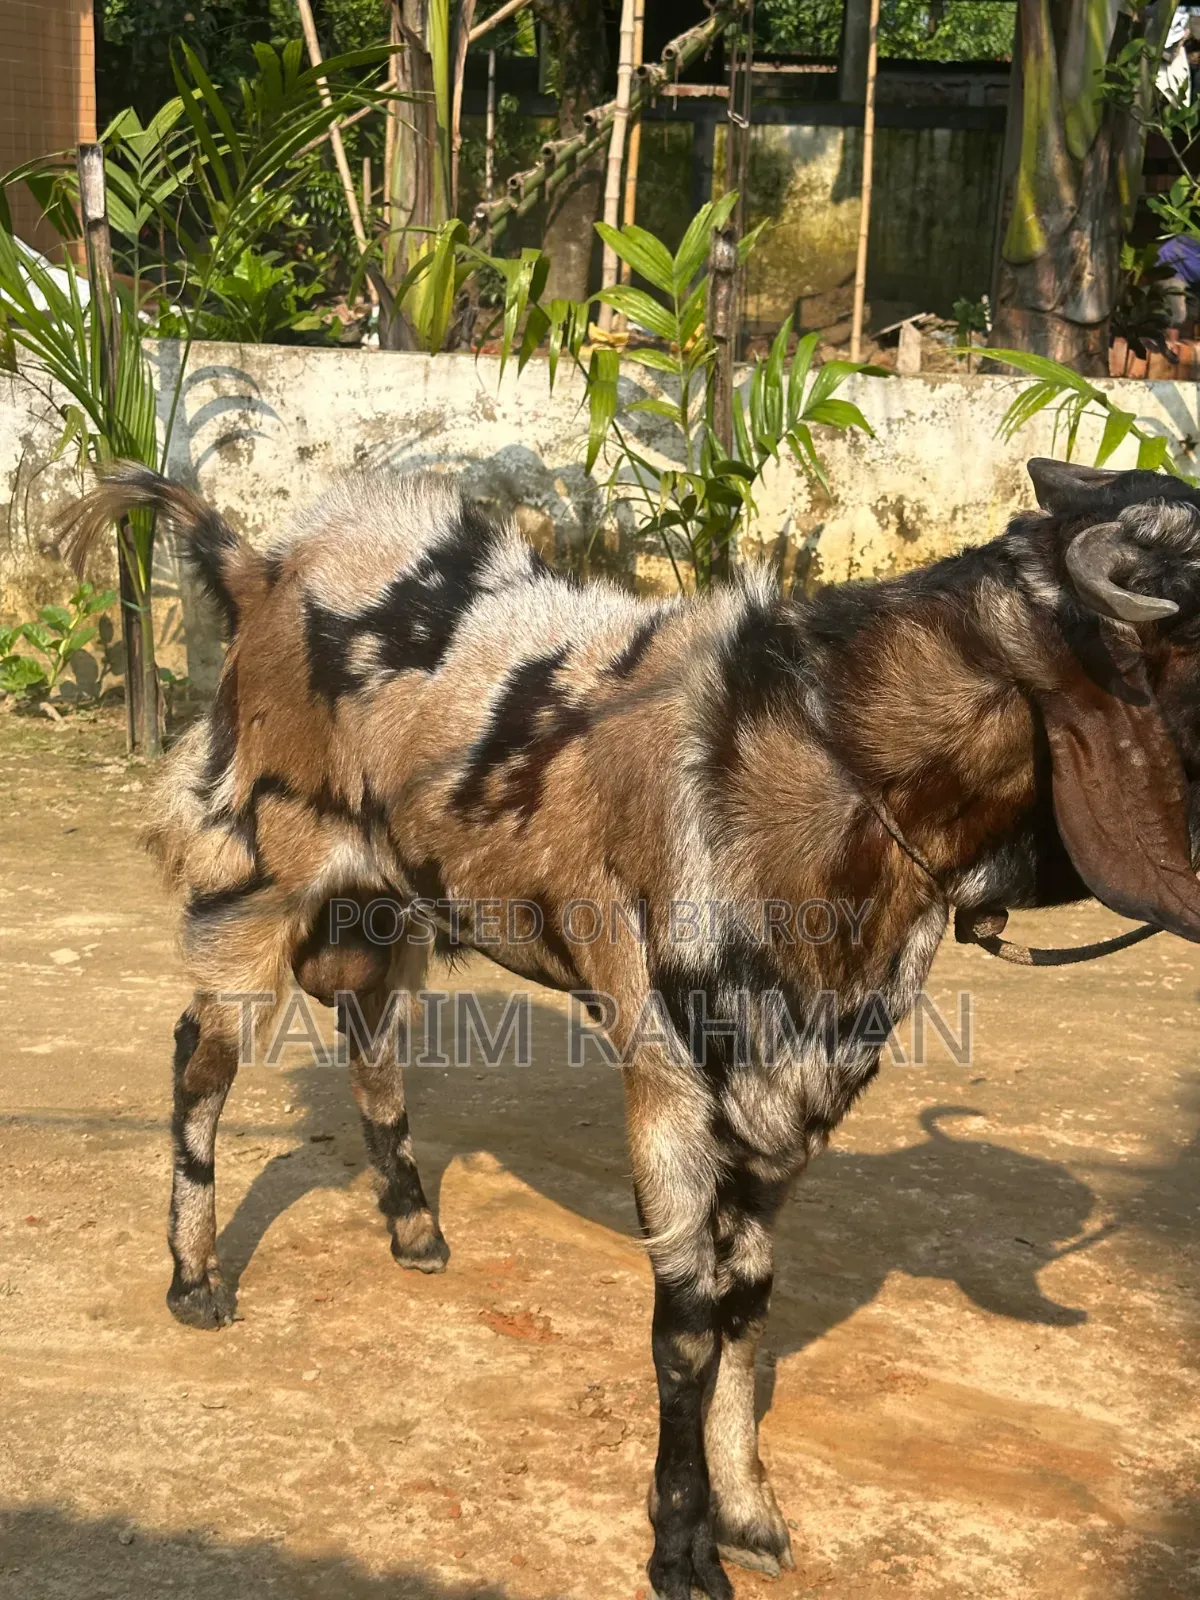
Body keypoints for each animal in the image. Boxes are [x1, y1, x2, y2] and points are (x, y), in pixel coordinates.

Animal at [64, 457, 1200, 1599]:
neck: (820, 768)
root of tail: (257, 567)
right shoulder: (669, 1082)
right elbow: (687, 1327)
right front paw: (680, 1548)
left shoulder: (786, 1096)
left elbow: (748, 1301)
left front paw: (750, 1515)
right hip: (258, 873)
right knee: (202, 1060)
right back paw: (196, 1281)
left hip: (379, 908)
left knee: (367, 1031)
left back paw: (417, 1232)